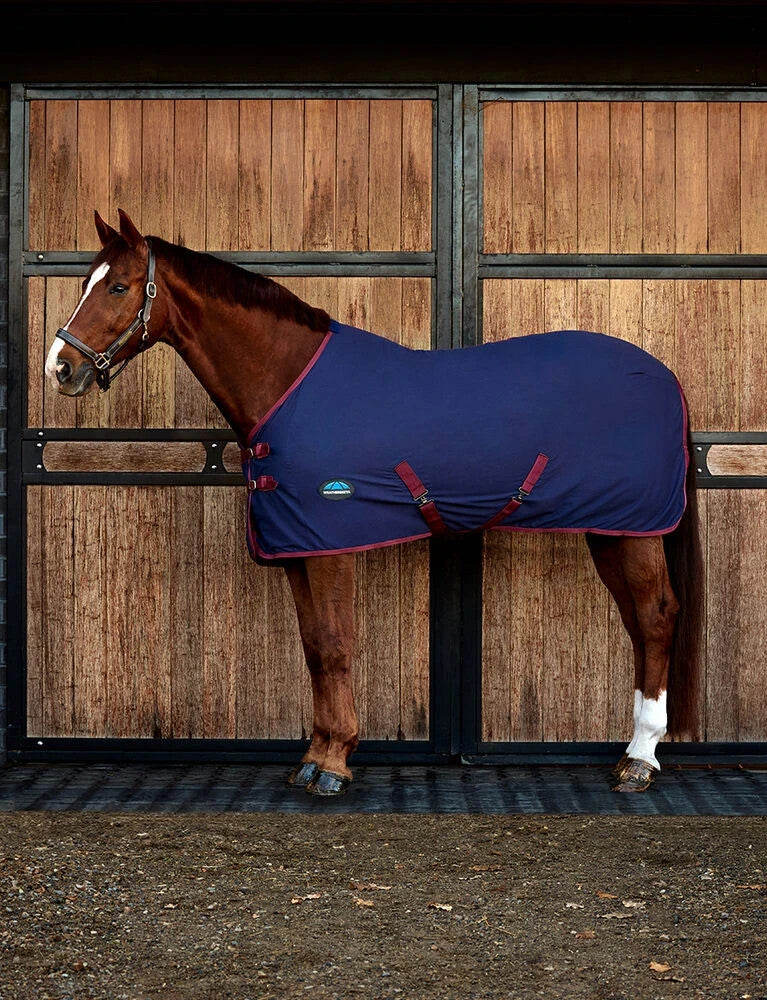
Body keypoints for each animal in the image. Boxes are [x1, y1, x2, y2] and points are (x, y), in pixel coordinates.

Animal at [45, 209, 704, 796]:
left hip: (636, 528)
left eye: (120, 286)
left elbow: (335, 645)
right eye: (84, 282)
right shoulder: (297, 547)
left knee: (656, 618)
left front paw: (334, 765)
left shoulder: (329, 541)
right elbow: (314, 649)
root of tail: (667, 376)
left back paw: (641, 759)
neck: (288, 382)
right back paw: (632, 751)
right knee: (639, 623)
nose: (61, 367)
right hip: (612, 530)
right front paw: (315, 757)